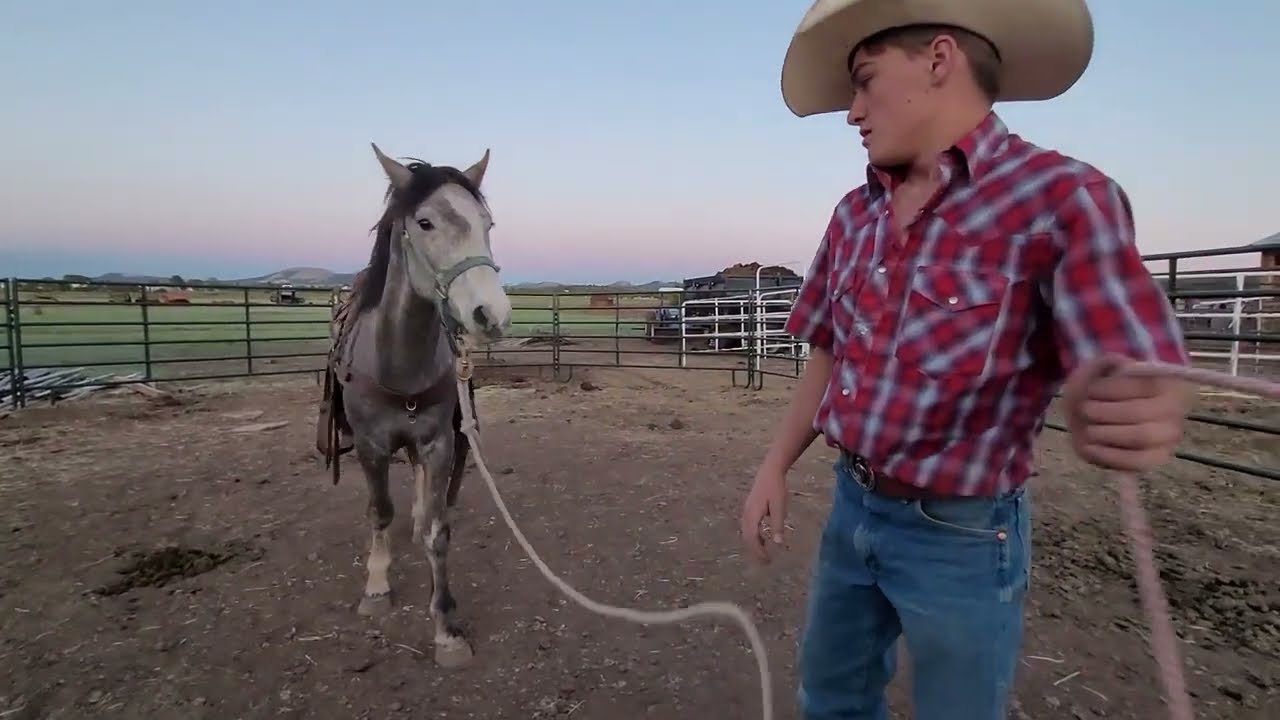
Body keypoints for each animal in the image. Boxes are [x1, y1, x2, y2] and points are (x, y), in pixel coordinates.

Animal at [317, 142, 512, 667]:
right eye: (424, 222)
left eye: (487, 223)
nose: (492, 315)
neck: (398, 360)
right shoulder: (370, 447)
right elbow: (380, 512)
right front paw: (377, 587)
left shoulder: (438, 443)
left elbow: (438, 530)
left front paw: (446, 628)